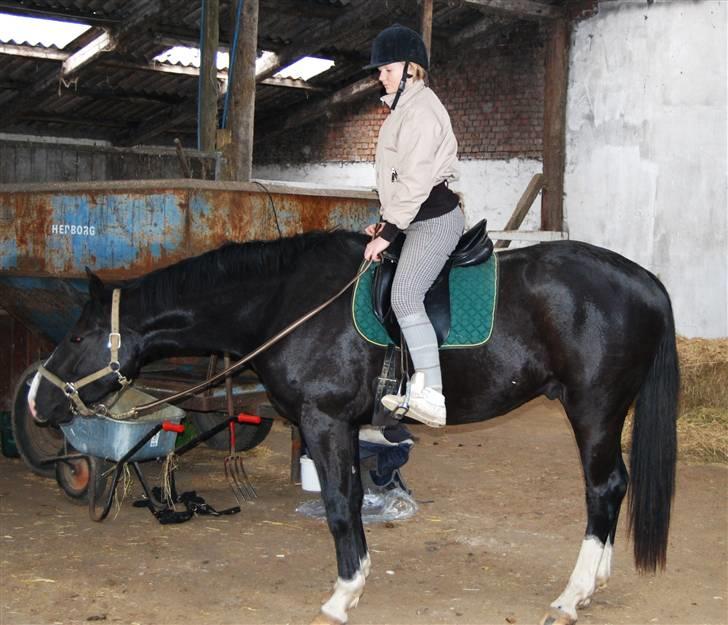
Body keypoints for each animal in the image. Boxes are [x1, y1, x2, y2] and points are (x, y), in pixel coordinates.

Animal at [27, 232, 676, 624]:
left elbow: (342, 503)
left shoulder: (326, 421)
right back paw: (595, 578)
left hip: (593, 409)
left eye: (78, 336)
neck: (286, 303)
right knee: (613, 487)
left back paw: (570, 595)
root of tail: (642, 280)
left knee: (602, 488)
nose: (37, 400)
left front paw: (344, 592)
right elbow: (351, 499)